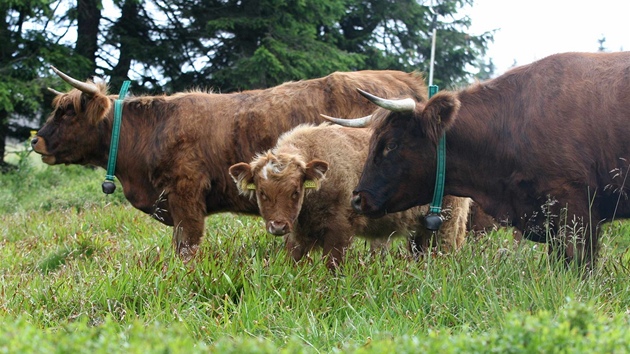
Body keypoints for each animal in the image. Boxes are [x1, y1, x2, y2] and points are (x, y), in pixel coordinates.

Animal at [230, 124, 472, 268]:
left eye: (295, 191)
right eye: (262, 192)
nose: (278, 226)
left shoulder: (339, 230)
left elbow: (332, 266)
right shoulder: (297, 235)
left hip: (447, 224)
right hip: (420, 231)